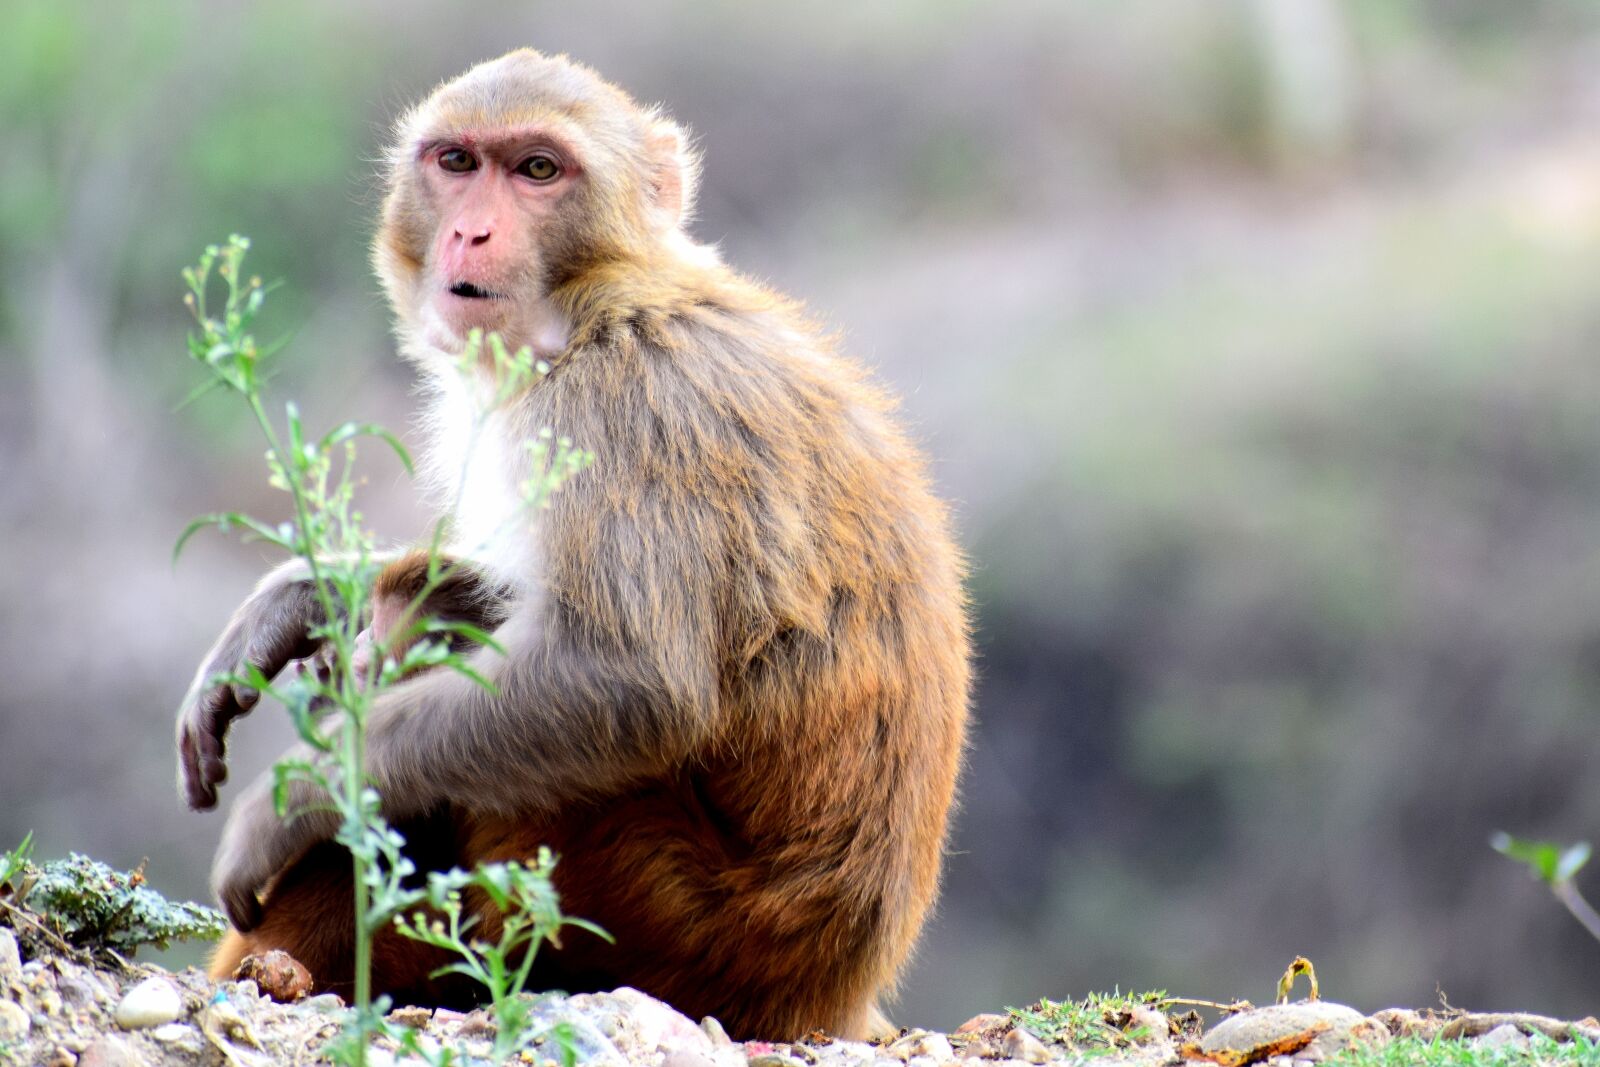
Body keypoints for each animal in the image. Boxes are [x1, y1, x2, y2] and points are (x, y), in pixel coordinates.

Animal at [177, 49, 971, 1040]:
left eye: (539, 171)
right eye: (457, 162)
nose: (470, 233)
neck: (601, 302)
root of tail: (835, 993)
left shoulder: (635, 405)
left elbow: (631, 680)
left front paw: (296, 798)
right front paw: (290, 601)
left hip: (654, 906)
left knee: (450, 633)